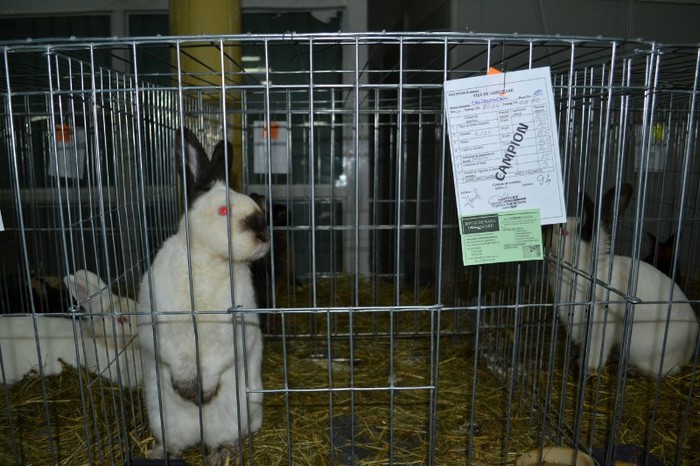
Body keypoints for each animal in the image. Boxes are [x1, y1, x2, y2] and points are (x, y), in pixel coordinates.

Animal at [137, 125, 270, 464]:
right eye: (224, 210)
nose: (264, 235)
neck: (209, 261)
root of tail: (199, 433)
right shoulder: (160, 329)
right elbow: (176, 358)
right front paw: (188, 390)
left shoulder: (233, 333)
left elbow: (215, 362)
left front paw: (202, 393)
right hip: (161, 415)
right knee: (173, 440)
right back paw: (161, 452)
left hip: (238, 414)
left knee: (225, 437)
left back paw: (220, 454)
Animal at [548, 182, 696, 378]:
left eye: (563, 232)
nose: (545, 231)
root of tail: (689, 353)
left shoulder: (599, 329)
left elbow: (595, 354)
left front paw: (584, 369)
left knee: (664, 370)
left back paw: (632, 371)